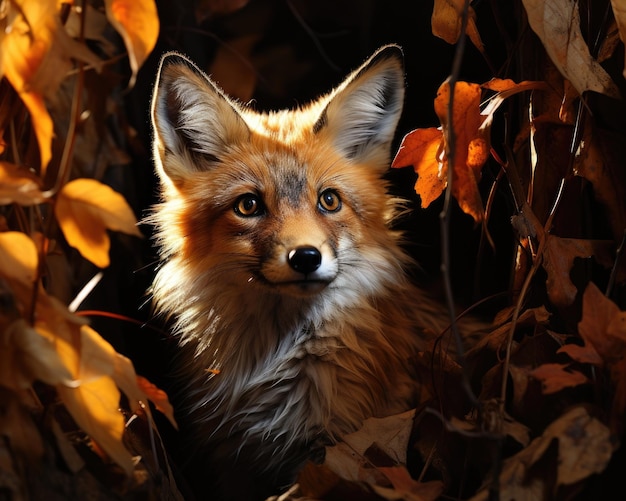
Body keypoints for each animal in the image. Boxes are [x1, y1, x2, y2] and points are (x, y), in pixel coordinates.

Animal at [147, 45, 464, 498]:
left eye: (329, 200)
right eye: (248, 206)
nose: (306, 257)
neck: (270, 364)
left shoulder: (334, 452)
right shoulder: (230, 460)